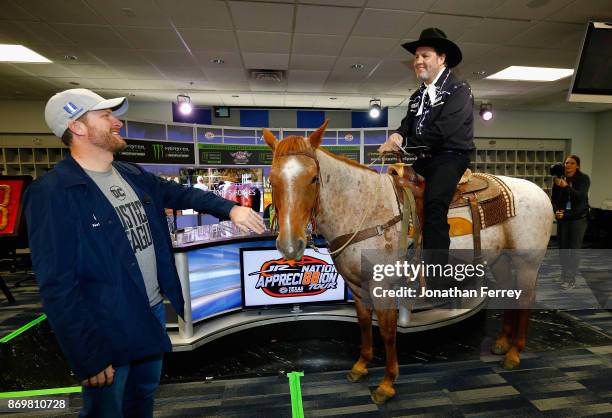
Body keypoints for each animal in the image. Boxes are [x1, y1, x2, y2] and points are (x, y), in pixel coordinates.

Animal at [262, 122, 556, 404]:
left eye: (313, 178)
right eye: (272, 179)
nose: (290, 245)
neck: (364, 209)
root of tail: (539, 191)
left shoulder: (382, 287)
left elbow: (388, 332)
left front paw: (387, 384)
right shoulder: (357, 287)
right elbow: (364, 324)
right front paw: (360, 366)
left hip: (527, 263)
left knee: (526, 299)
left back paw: (514, 353)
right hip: (502, 260)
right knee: (510, 294)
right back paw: (502, 344)